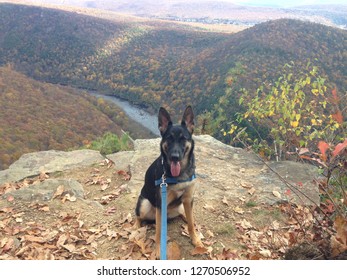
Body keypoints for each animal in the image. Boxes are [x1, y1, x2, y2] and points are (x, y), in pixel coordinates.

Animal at [135, 105, 203, 258]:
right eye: (169, 139)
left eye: (183, 139)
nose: (174, 157)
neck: (179, 174)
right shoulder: (161, 203)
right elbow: (159, 232)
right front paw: (159, 250)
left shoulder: (188, 199)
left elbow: (191, 223)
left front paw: (195, 239)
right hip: (145, 205)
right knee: (138, 217)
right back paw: (136, 228)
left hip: (180, 206)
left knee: (187, 216)